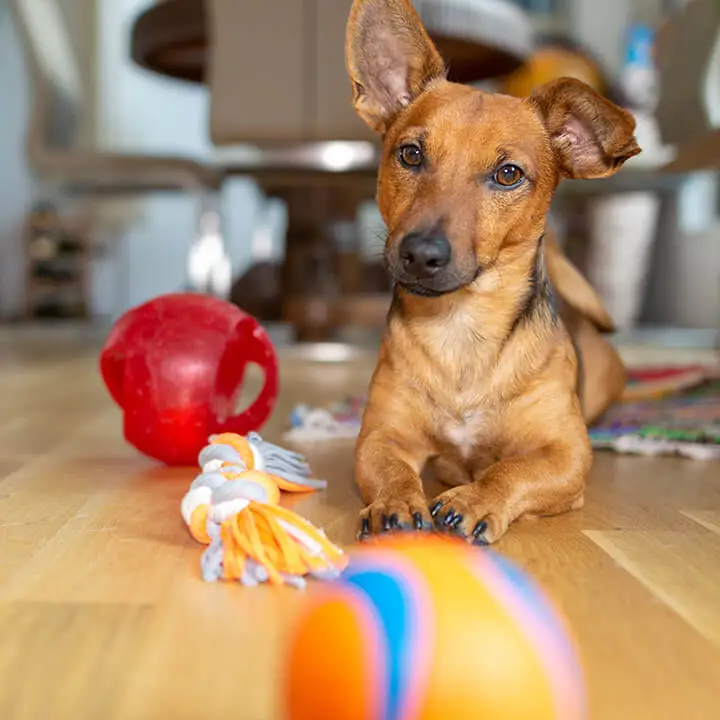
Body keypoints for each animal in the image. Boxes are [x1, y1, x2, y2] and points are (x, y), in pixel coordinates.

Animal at [346, 0, 640, 544]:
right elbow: (393, 471)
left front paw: (476, 499)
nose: (421, 254)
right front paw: (395, 502)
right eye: (410, 154)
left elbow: (511, 470)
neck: (461, 328)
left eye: (508, 174)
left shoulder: (566, 454)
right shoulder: (379, 436)